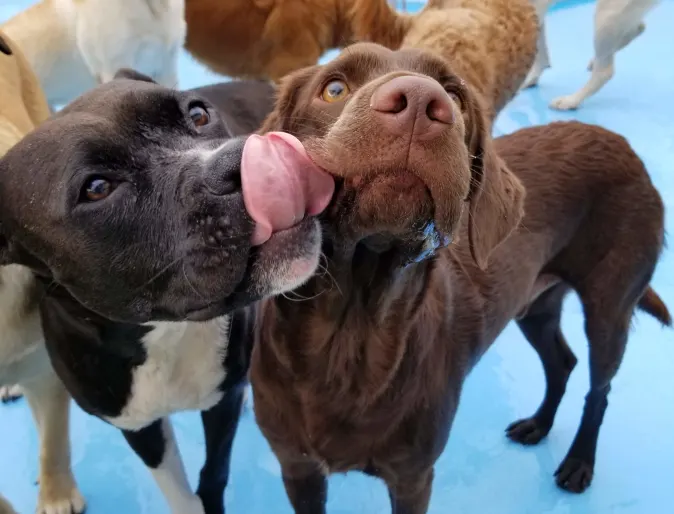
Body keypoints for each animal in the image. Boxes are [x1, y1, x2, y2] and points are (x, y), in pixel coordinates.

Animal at [0, 71, 334, 512]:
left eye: (198, 114)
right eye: (96, 188)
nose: (242, 157)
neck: (163, 334)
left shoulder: (221, 403)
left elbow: (214, 474)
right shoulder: (138, 426)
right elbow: (179, 492)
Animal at [524, 0, 660, 109]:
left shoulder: (535, 8)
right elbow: (540, 51)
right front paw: (532, 77)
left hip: (606, 14)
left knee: (604, 72)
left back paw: (572, 100)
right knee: (637, 29)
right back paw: (595, 60)